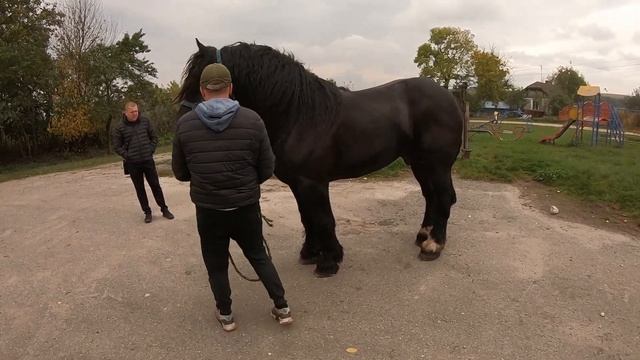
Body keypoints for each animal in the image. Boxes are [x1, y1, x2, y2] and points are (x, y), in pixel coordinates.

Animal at [178, 40, 462, 276]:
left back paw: (433, 246)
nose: (182, 125)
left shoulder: (313, 182)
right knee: (430, 197)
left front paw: (329, 261)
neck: (298, 114)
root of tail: (448, 95)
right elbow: (307, 217)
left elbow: (324, 219)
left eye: (201, 82)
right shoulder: (298, 184)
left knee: (443, 197)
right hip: (419, 163)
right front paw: (310, 253)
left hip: (437, 164)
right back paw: (423, 235)